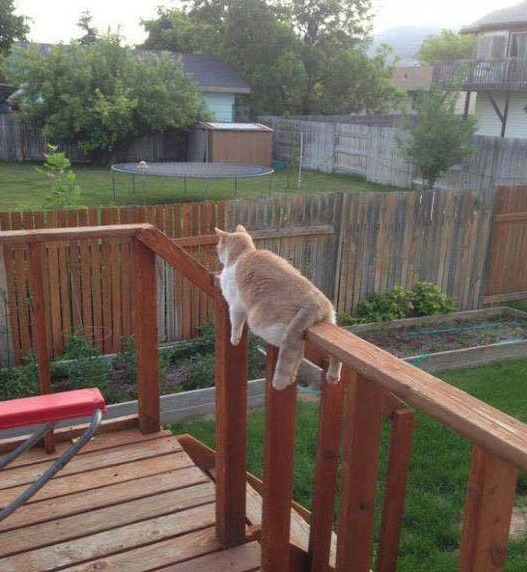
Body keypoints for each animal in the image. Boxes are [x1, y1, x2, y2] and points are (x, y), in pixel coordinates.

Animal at [216, 224, 342, 390]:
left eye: (218, 246)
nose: (217, 252)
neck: (243, 254)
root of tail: (314, 304)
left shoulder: (236, 306)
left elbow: (236, 325)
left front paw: (234, 340)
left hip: (265, 327)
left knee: (297, 353)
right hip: (329, 323)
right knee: (328, 354)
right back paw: (332, 376)